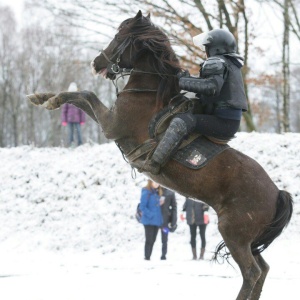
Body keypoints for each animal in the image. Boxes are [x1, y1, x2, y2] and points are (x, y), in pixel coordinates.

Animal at [27, 9, 292, 300]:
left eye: (119, 37)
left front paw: (51, 100)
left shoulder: (111, 125)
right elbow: (81, 97)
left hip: (234, 233)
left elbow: (85, 94)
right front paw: (40, 96)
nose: (96, 64)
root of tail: (277, 193)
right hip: (248, 239)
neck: (149, 91)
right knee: (263, 269)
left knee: (252, 272)